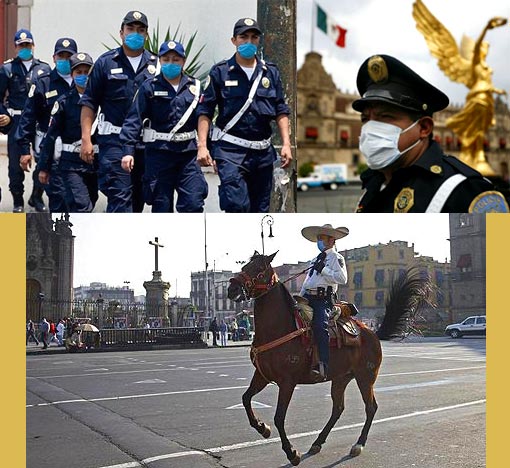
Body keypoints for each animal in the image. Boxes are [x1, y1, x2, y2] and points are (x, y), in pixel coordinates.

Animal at [228, 252, 434, 464]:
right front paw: (262, 428)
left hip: (366, 377)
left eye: (260, 268)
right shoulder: (262, 375)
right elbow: (246, 399)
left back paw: (358, 444)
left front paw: (291, 452)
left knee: (370, 407)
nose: (232, 288)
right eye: (245, 266)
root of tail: (372, 332)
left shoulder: (287, 382)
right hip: (340, 378)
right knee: (338, 408)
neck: (280, 328)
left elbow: (279, 417)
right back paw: (318, 442)